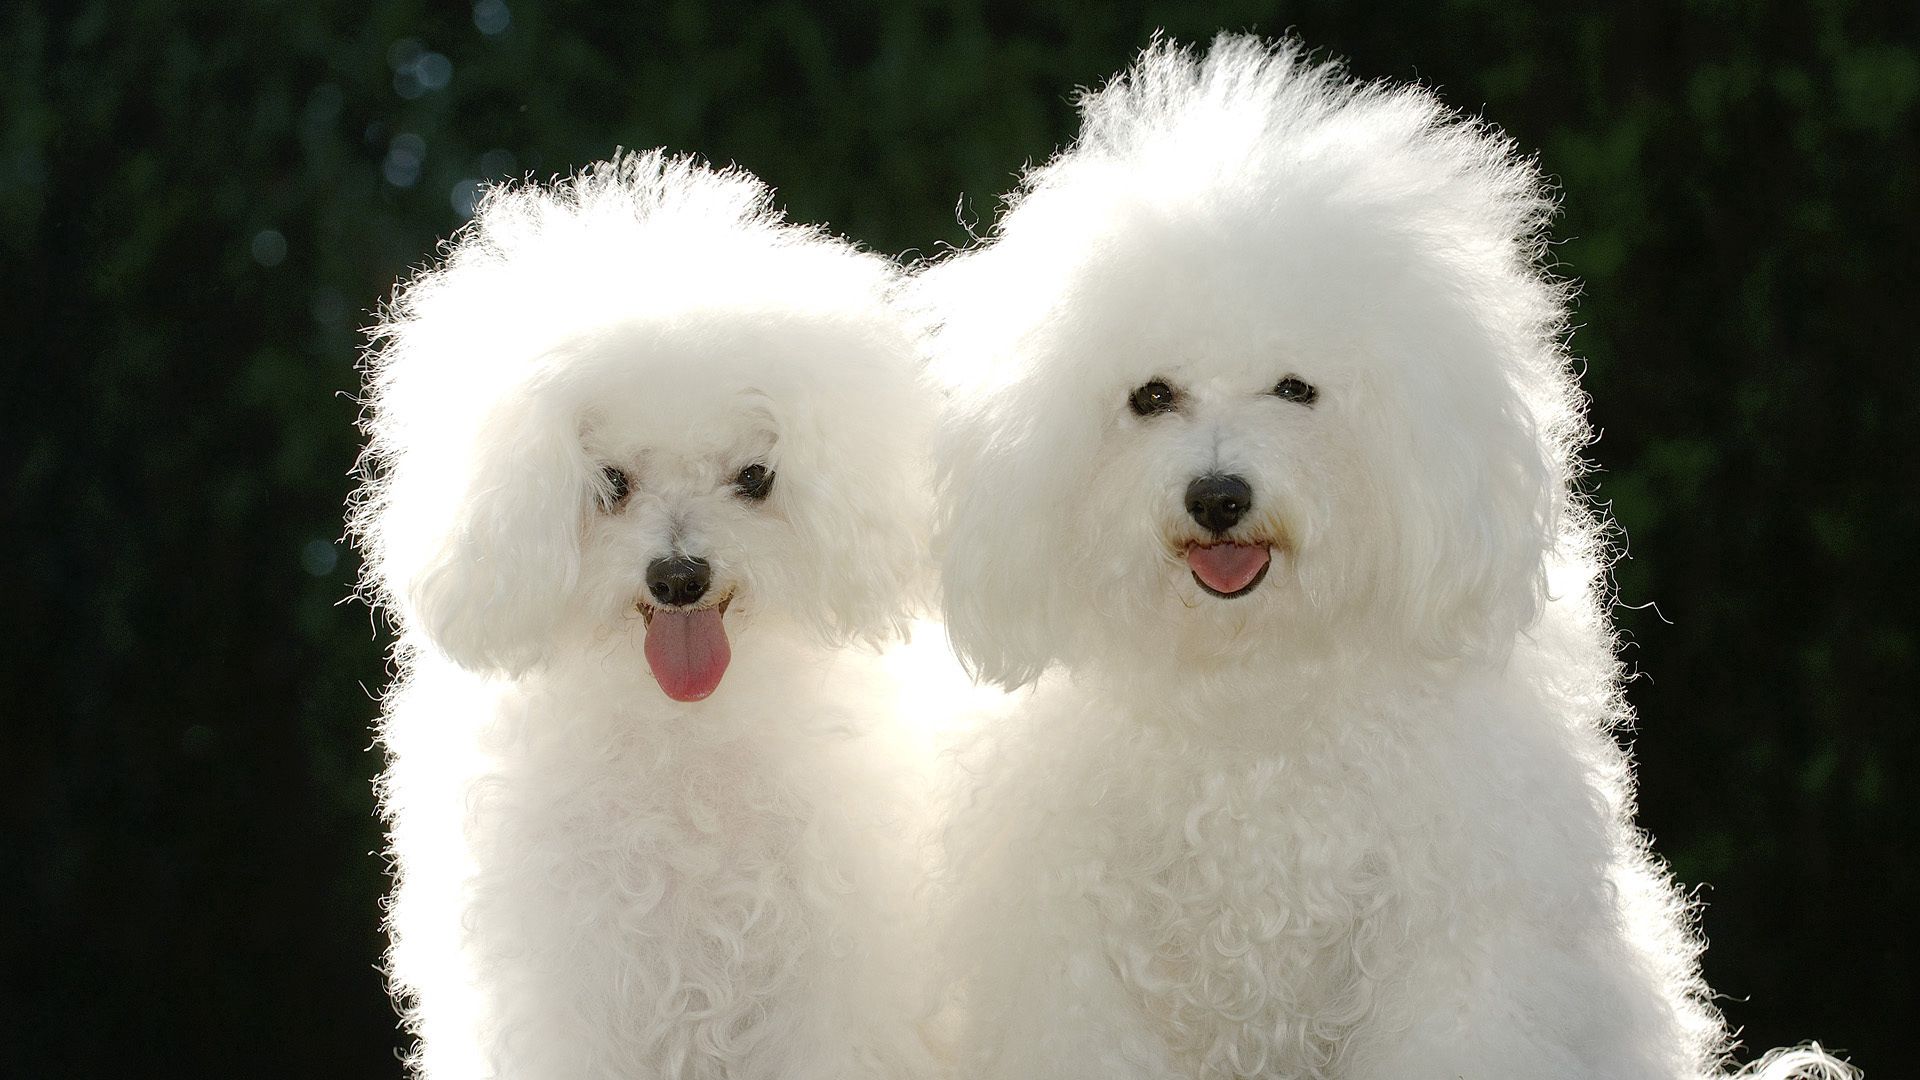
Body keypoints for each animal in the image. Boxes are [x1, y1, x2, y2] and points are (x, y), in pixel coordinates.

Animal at [353, 153, 944, 1076]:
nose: (678, 577)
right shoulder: (565, 990)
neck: (681, 734)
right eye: (611, 483)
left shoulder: (824, 986)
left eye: (754, 478)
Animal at [921, 35, 1850, 1076]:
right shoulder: (1070, 960)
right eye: (1151, 396)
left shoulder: (1456, 936)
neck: (1253, 694)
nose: (1218, 496)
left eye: (1296, 389)